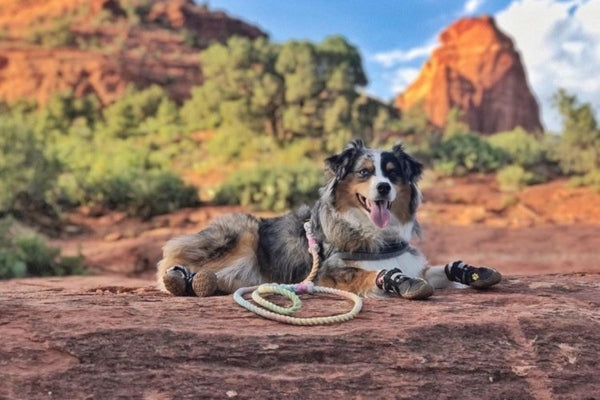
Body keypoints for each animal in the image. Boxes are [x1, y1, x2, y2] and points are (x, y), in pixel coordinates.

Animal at [156, 139, 502, 298]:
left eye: (393, 174)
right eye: (364, 172)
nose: (384, 187)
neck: (377, 237)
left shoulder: (413, 262)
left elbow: (441, 269)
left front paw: (470, 271)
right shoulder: (327, 274)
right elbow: (368, 275)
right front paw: (396, 281)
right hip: (241, 232)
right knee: (168, 267)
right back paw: (182, 277)